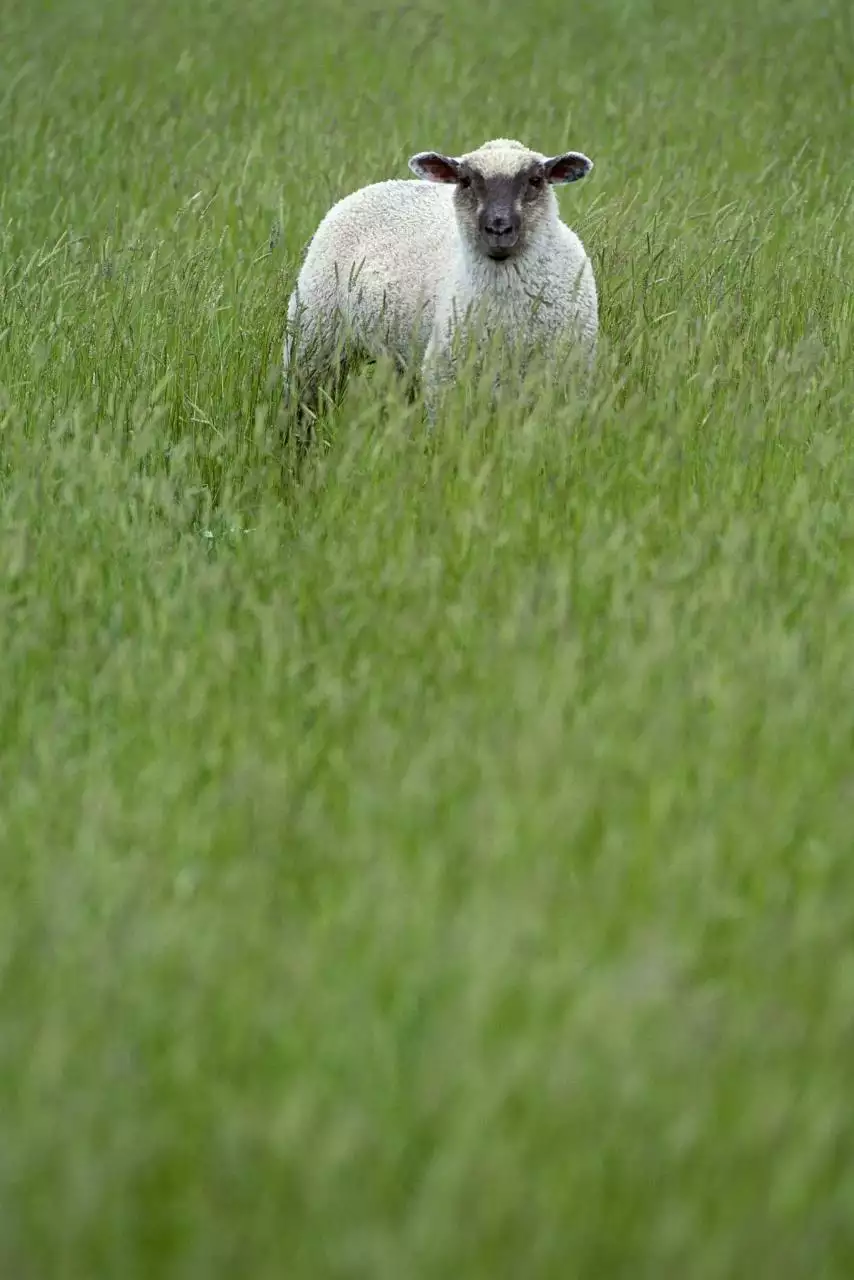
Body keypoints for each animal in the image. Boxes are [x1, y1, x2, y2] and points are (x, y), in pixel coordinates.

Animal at [284, 139, 599, 419]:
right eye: (466, 181)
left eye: (535, 180)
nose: (498, 228)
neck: (509, 319)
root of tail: (376, 185)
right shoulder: (445, 378)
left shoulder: (570, 377)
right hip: (313, 337)